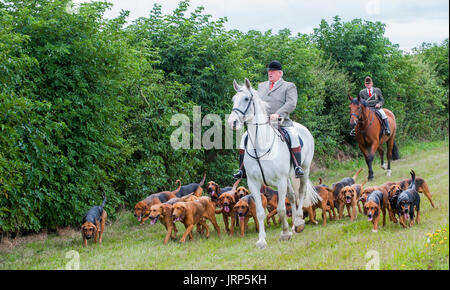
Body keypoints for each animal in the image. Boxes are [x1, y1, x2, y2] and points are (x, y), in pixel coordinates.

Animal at [225, 79, 320, 249]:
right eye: (233, 99)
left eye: (246, 99)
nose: (232, 122)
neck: (260, 146)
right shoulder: (254, 183)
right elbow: (260, 212)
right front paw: (262, 240)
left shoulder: (280, 181)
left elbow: (281, 209)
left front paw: (284, 234)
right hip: (288, 177)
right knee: (292, 196)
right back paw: (294, 226)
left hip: (304, 169)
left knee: (300, 192)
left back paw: (298, 222)